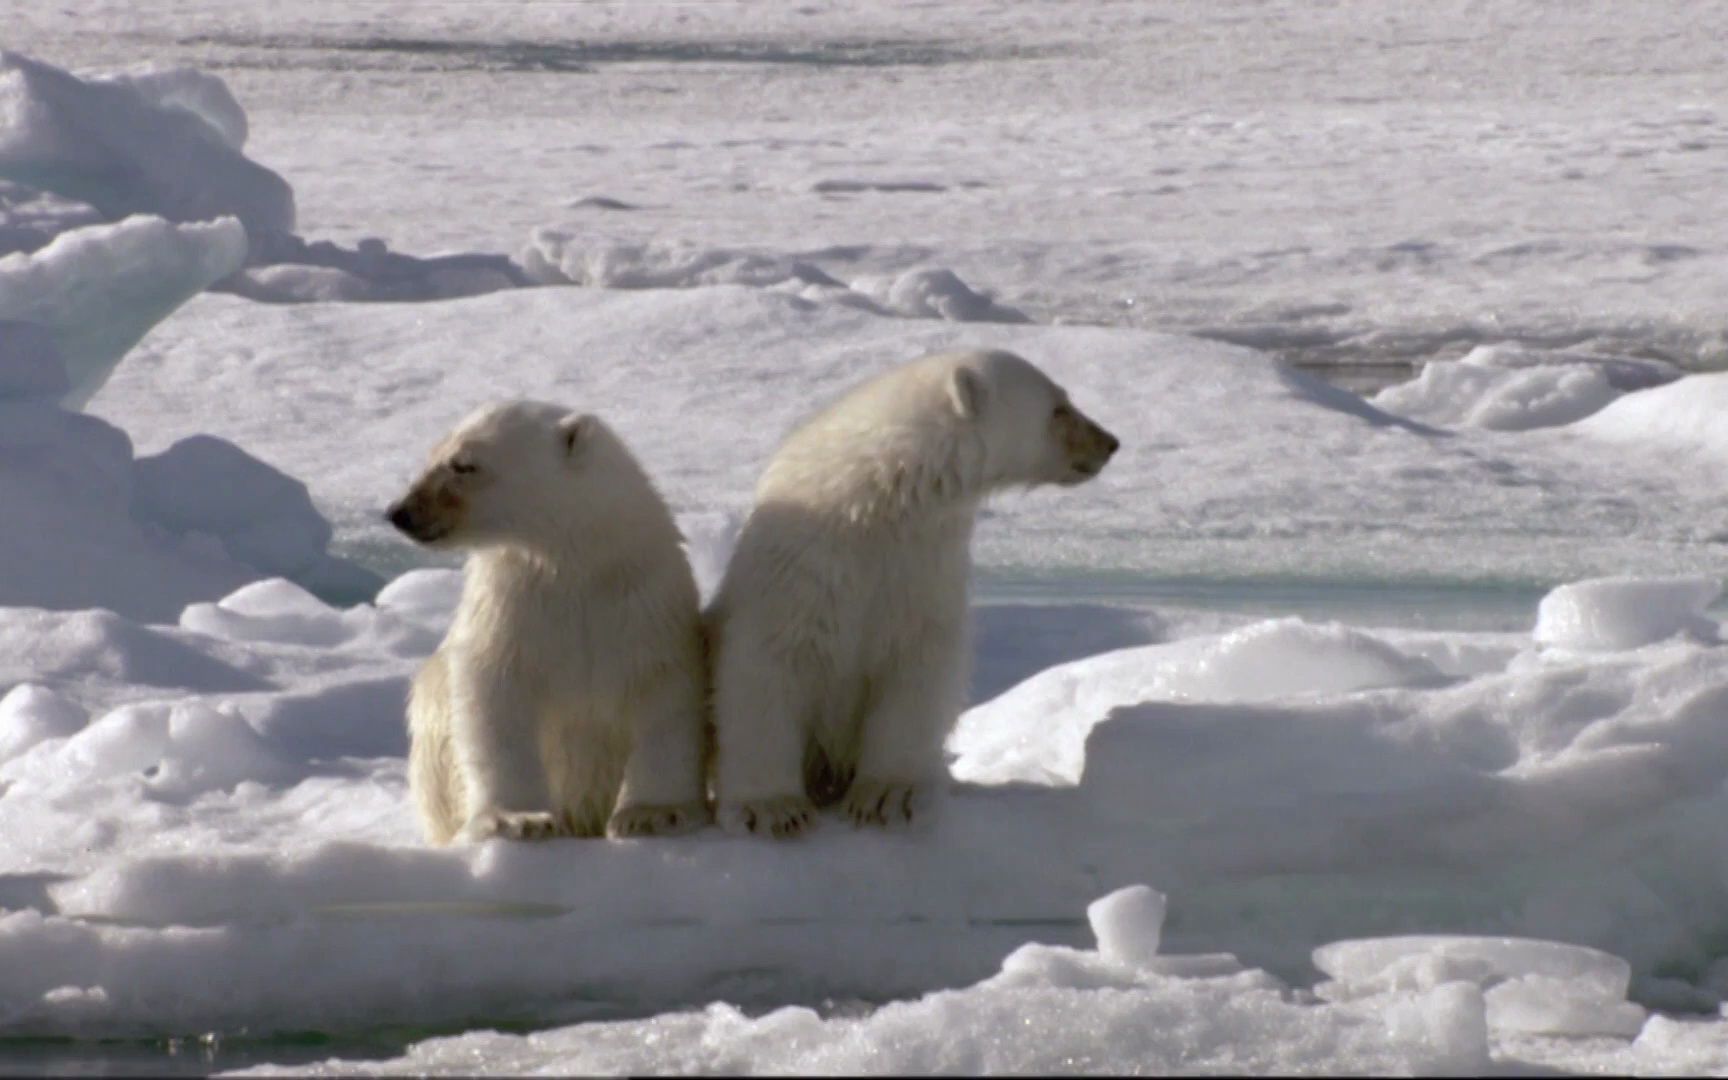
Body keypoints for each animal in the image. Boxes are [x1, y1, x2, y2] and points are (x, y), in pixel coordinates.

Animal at [390, 397, 708, 843]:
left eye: (464, 464)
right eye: (434, 454)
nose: (400, 512)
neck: (574, 562)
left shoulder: (645, 605)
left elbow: (665, 692)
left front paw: (652, 814)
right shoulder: (511, 606)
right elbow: (495, 693)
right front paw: (519, 820)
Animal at [705, 345, 1119, 832]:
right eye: (1058, 408)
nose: (1110, 442)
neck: (873, 505)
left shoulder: (921, 569)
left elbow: (916, 671)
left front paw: (886, 795)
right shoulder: (801, 569)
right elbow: (765, 668)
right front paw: (771, 807)